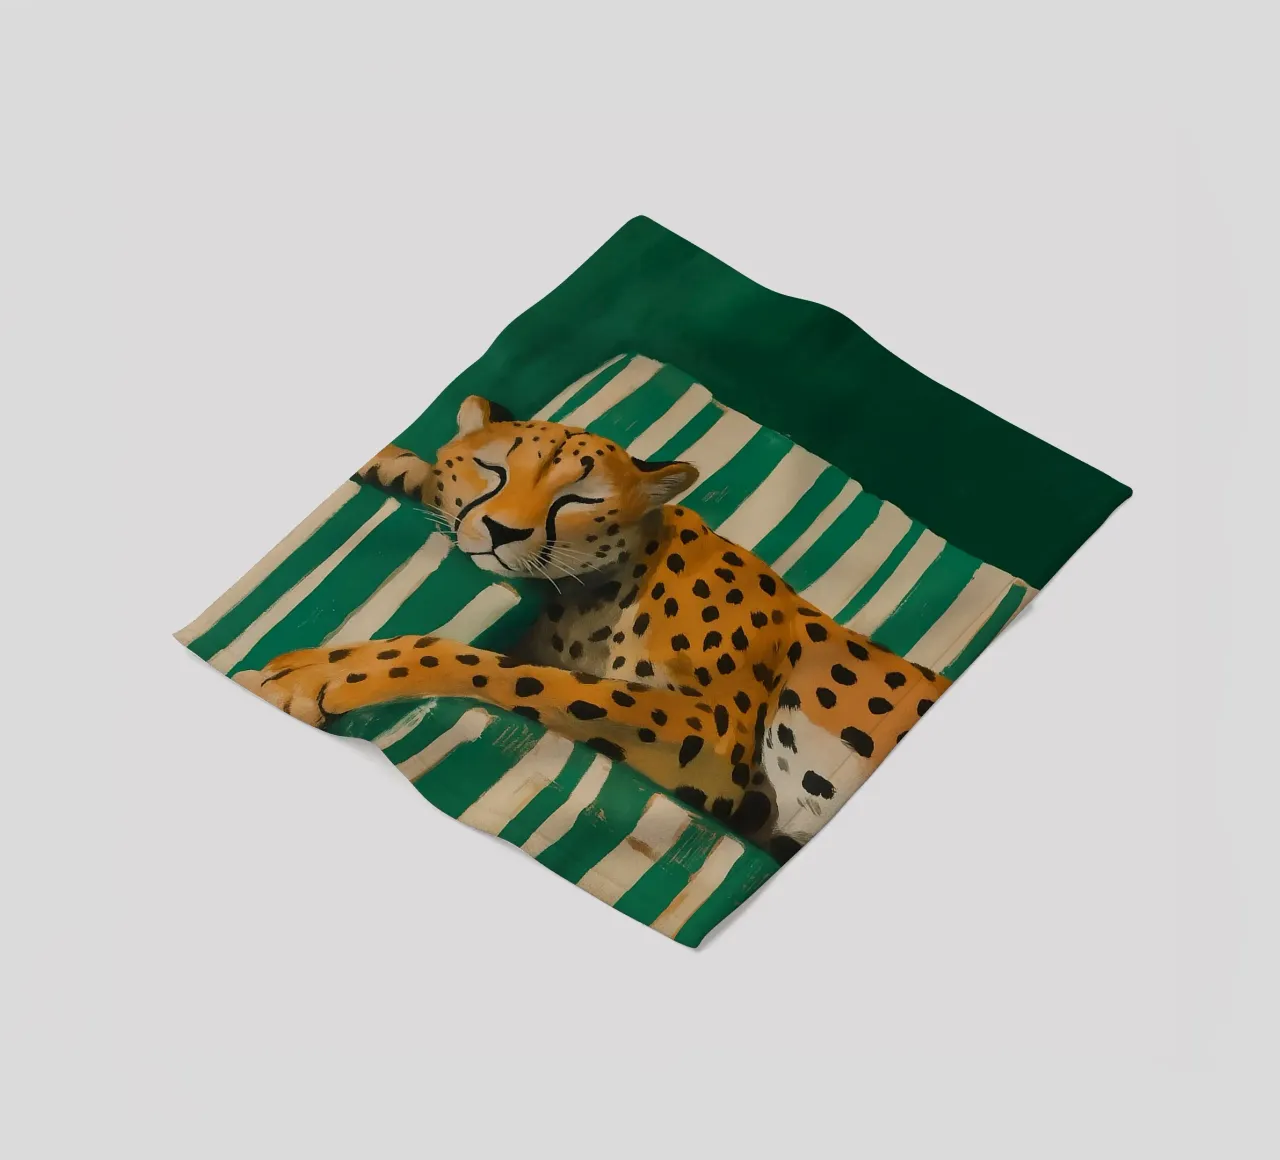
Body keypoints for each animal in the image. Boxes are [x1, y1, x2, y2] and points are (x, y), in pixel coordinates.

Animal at [234, 394, 949, 861]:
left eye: (579, 498)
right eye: (492, 469)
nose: (502, 532)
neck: (592, 584)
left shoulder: (716, 743)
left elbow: (511, 675)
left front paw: (319, 674)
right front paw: (397, 463)